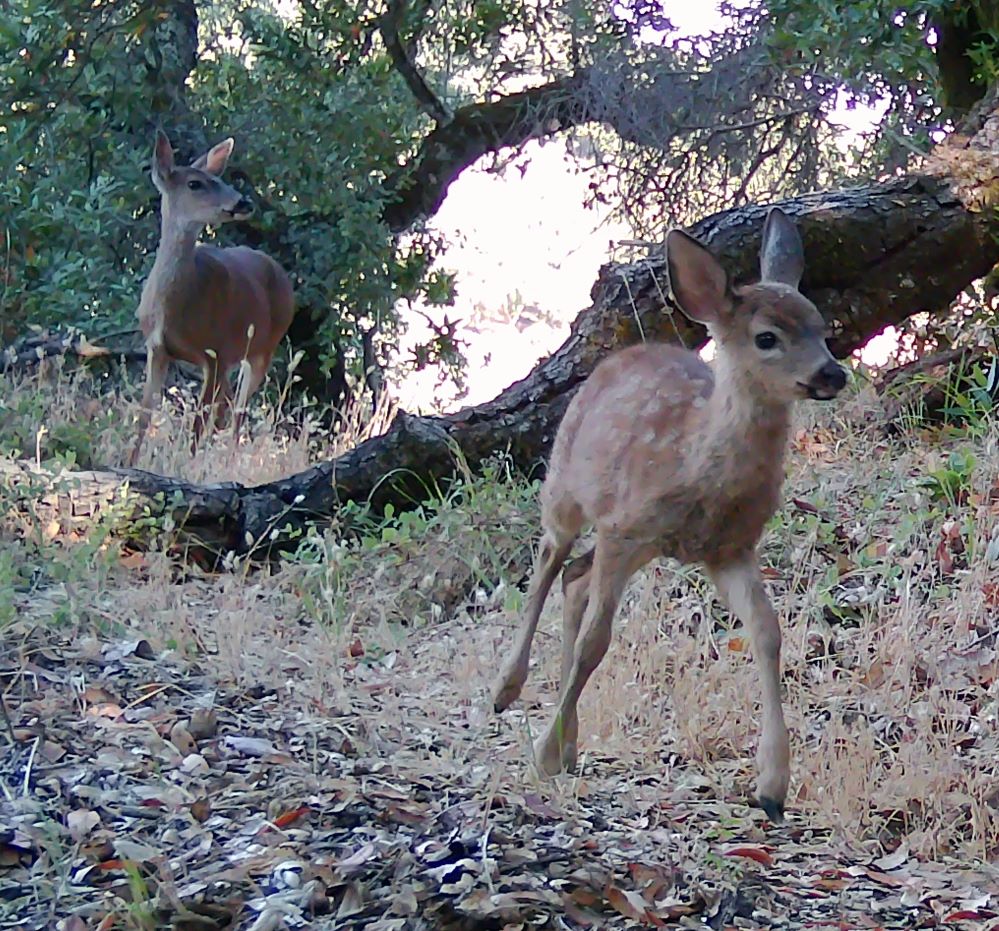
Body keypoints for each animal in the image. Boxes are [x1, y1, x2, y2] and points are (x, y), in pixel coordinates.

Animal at [128, 131, 295, 466]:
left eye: (220, 179)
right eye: (195, 183)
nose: (243, 201)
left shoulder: (215, 352)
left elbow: (197, 423)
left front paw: (187, 467)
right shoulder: (157, 348)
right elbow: (144, 415)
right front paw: (128, 463)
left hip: (262, 348)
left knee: (237, 413)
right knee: (228, 407)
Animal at [490, 208, 847, 821]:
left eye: (821, 327)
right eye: (767, 337)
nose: (833, 373)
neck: (698, 465)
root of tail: (615, 358)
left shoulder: (728, 549)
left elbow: (767, 631)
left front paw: (772, 785)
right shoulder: (626, 529)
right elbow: (596, 642)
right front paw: (539, 753)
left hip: (626, 538)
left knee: (573, 577)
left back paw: (571, 741)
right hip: (566, 490)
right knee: (547, 563)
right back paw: (507, 692)